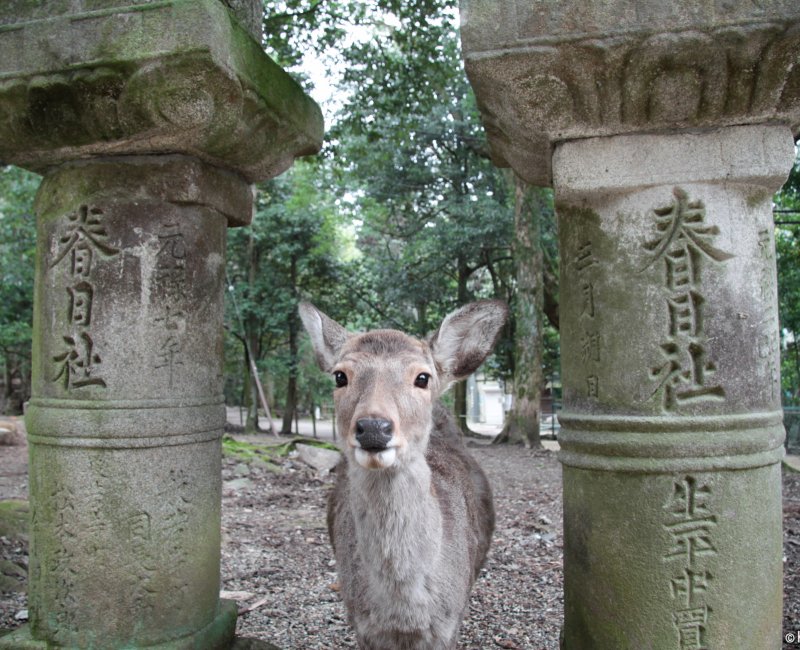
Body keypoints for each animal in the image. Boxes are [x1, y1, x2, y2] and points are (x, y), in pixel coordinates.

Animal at [299, 300, 508, 650]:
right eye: (340, 376)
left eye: (422, 377)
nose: (373, 427)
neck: (405, 616)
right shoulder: (361, 622)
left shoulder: (449, 623)